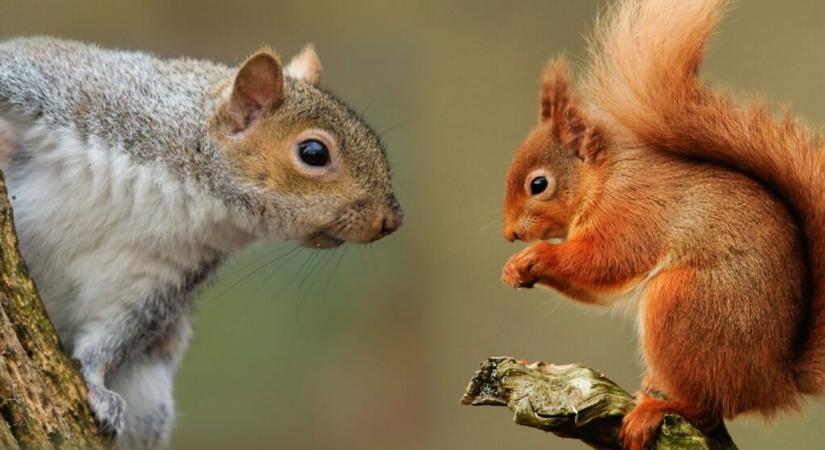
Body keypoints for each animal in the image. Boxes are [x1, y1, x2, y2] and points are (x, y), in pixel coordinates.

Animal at [0, 37, 402, 448]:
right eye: (314, 153)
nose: (392, 220)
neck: (189, 191)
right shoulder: (78, 92)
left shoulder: (164, 275)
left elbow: (114, 337)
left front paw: (97, 387)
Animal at [498, 0, 824, 450]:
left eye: (538, 184)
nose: (510, 233)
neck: (605, 179)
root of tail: (774, 382)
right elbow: (594, 288)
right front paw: (514, 268)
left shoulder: (631, 214)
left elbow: (604, 262)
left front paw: (537, 255)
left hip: (682, 304)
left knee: (707, 408)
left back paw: (656, 409)